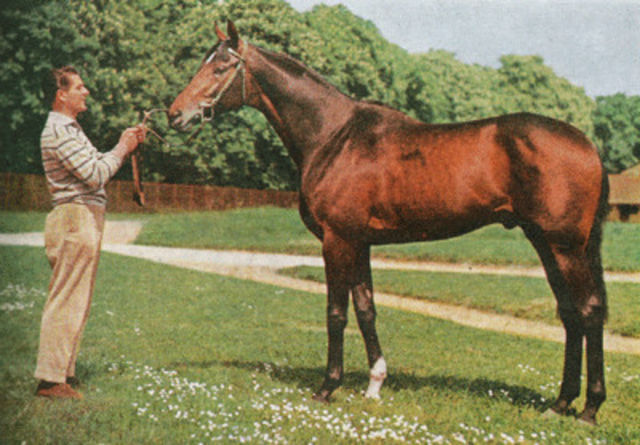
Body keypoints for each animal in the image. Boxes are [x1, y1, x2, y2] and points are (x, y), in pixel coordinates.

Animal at [168, 21, 609, 425]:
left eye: (221, 67)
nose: (176, 115)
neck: (334, 136)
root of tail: (588, 145)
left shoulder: (337, 240)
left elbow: (336, 313)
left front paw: (327, 387)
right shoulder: (359, 242)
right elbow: (366, 310)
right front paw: (375, 384)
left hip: (565, 247)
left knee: (589, 311)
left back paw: (589, 408)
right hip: (545, 243)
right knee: (570, 314)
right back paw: (560, 403)